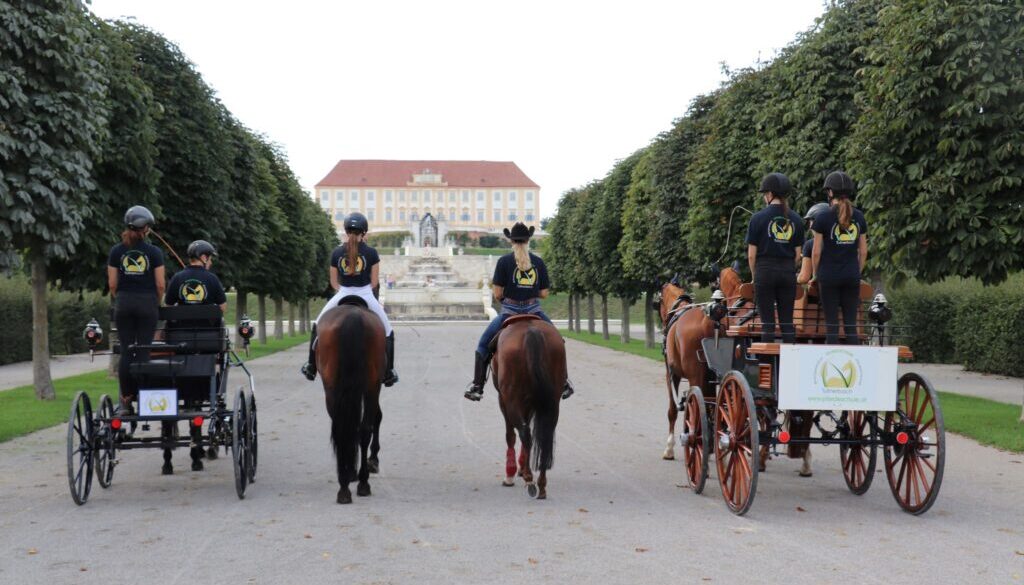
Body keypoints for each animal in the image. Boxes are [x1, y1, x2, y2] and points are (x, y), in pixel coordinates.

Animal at [313, 299, 385, 506]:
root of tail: (353, 316)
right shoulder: (374, 388)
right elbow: (376, 418)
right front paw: (371, 461)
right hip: (369, 387)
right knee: (360, 429)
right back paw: (358, 481)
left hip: (333, 388)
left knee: (344, 429)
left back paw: (347, 484)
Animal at [489, 315, 565, 499]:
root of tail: (532, 331)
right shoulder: (530, 402)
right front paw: (522, 468)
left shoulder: (504, 399)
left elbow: (510, 435)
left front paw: (512, 474)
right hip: (552, 401)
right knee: (544, 435)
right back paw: (541, 484)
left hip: (510, 398)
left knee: (524, 433)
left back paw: (529, 480)